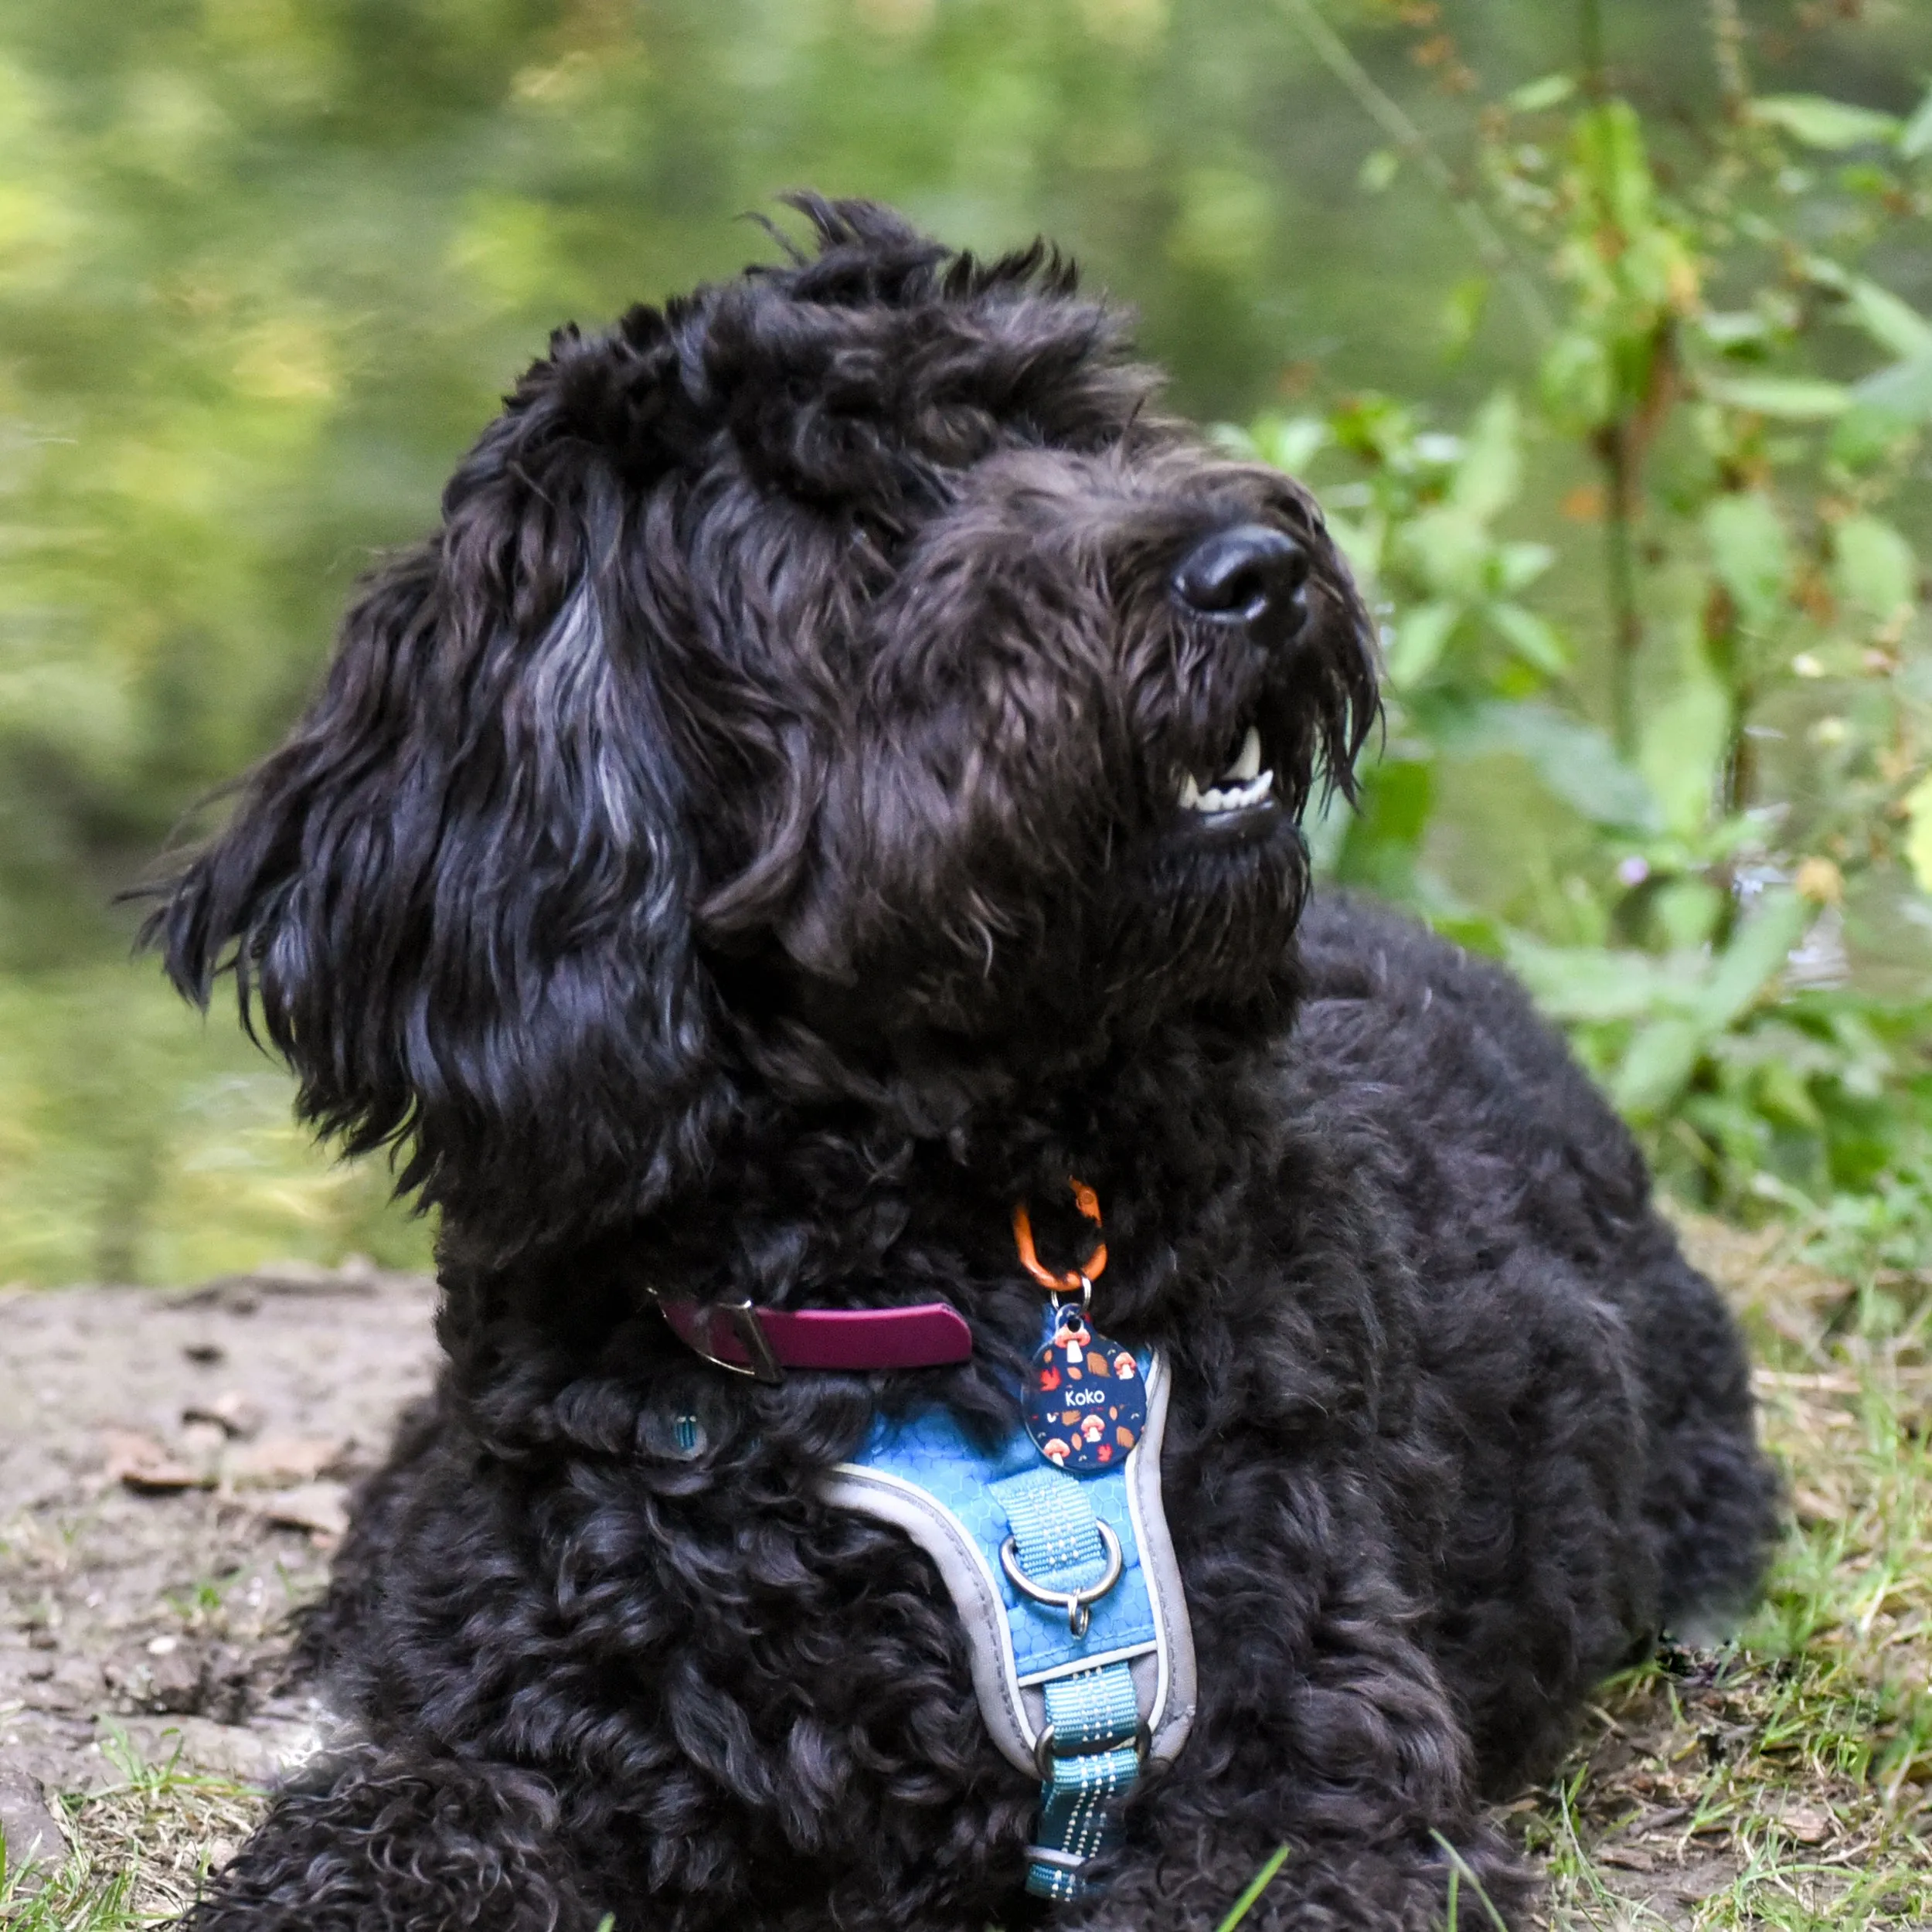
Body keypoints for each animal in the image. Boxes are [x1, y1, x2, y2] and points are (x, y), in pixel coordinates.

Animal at [151, 199, 1777, 1932]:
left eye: (1080, 423)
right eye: (862, 527)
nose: (1255, 569)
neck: (881, 1294)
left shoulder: (1303, 1785)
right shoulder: (524, 1713)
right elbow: (394, 1820)